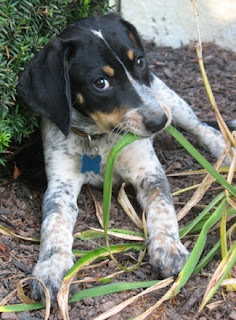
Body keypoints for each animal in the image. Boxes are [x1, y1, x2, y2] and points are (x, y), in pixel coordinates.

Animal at [17, 13, 230, 302]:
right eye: (100, 83)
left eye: (139, 61)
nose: (159, 122)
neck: (98, 138)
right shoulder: (60, 184)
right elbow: (54, 222)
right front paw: (51, 265)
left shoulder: (149, 172)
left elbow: (163, 209)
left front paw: (168, 247)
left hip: (167, 98)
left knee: (201, 127)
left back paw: (225, 152)